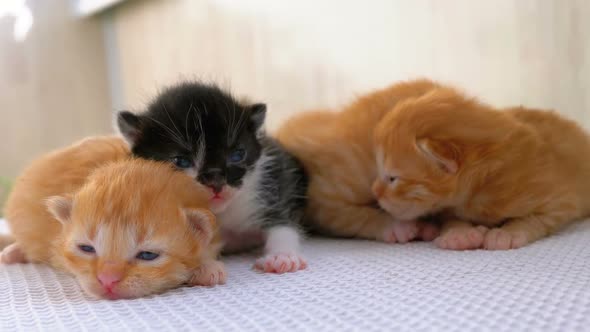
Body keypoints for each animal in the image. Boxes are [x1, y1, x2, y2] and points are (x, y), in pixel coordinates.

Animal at [116, 81, 310, 274]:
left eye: (237, 155)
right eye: (181, 161)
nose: (216, 182)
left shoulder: (273, 180)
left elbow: (282, 223)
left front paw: (282, 256)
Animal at [376, 81, 590, 250]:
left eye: (392, 178)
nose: (375, 193)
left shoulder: (560, 199)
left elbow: (536, 218)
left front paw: (508, 233)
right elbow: (450, 218)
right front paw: (459, 235)